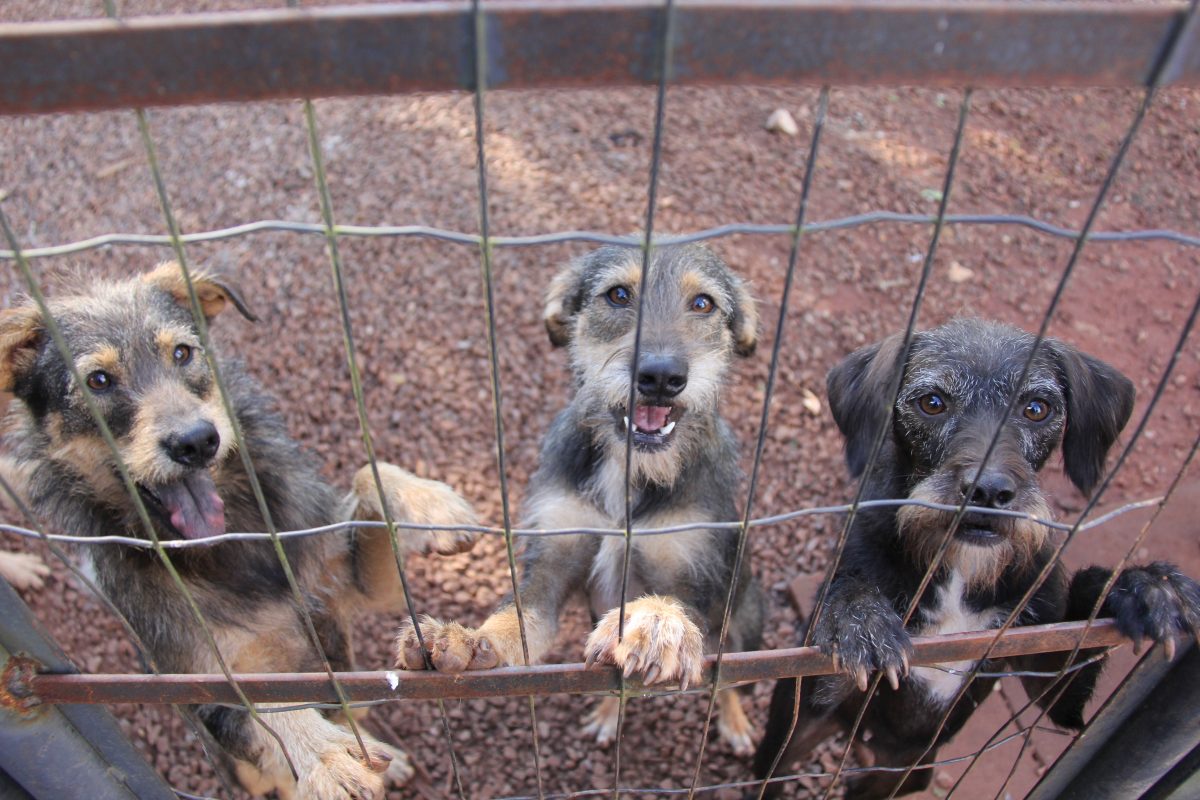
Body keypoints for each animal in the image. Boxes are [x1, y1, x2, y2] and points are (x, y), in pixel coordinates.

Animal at [0, 263, 477, 800]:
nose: (195, 442)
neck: (231, 546)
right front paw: (324, 754)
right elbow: (265, 705)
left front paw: (430, 502)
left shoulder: (351, 588)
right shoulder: (207, 689)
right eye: (97, 381)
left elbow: (366, 474)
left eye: (182, 352)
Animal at [396, 244, 768, 758]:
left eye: (703, 303)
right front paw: (469, 640)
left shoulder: (697, 576)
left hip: (745, 621)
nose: (660, 376)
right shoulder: (556, 555)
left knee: (728, 674)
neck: (632, 470)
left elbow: (679, 610)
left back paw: (733, 722)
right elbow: (520, 616)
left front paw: (657, 624)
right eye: (618, 294)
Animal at [748, 321, 1200, 800]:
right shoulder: (818, 689)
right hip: (793, 746)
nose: (988, 491)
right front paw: (858, 616)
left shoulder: (1054, 676)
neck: (960, 570)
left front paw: (1146, 587)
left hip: (907, 773)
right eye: (932, 402)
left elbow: (1080, 637)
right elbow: (847, 605)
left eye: (1037, 408)